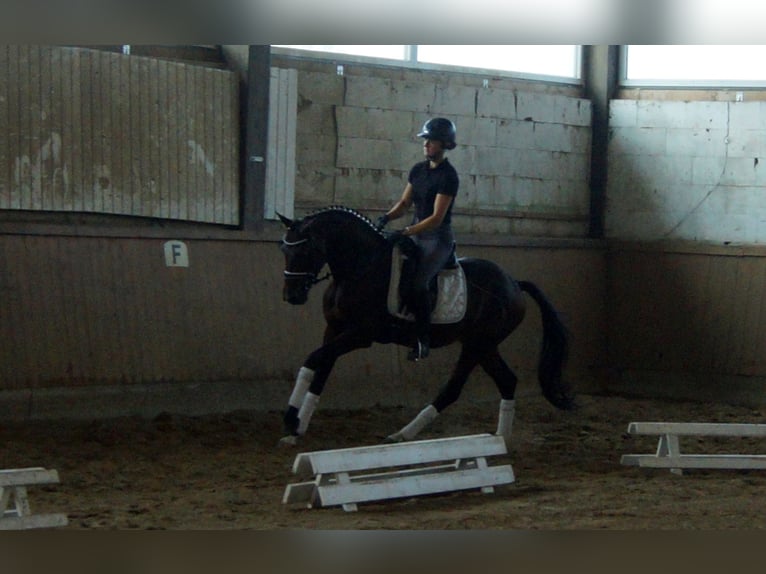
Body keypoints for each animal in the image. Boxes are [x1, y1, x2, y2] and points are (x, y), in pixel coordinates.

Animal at [280, 205, 572, 448]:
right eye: (284, 250)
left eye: (305, 250)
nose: (291, 296)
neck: (361, 267)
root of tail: (514, 284)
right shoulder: (333, 330)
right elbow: (321, 370)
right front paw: (297, 429)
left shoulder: (360, 335)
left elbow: (313, 359)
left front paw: (291, 418)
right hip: (484, 346)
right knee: (507, 381)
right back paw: (500, 439)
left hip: (478, 344)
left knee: (453, 389)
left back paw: (404, 434)